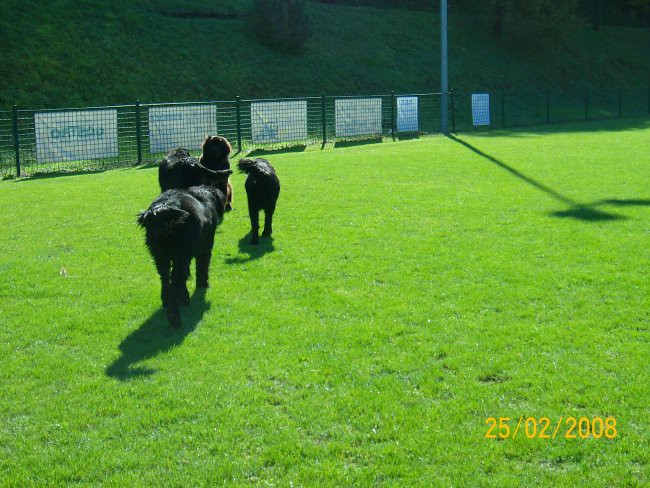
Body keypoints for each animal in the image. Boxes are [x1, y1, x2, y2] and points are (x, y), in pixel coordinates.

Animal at [135, 168, 232, 328]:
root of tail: (162, 207)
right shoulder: (204, 248)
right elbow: (201, 268)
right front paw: (202, 285)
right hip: (181, 253)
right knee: (175, 279)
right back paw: (175, 314)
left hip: (160, 256)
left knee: (165, 277)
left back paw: (167, 300)